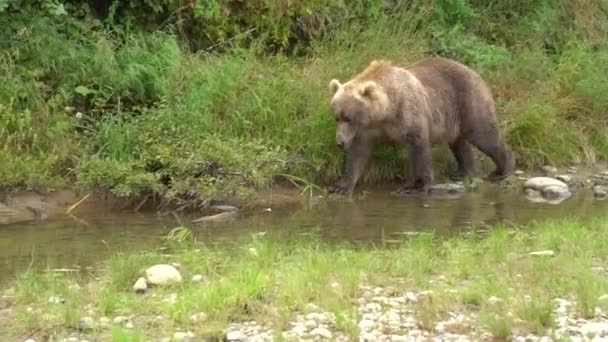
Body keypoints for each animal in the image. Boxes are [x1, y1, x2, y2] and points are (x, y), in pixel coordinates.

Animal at [328, 56, 512, 195]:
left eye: (348, 118)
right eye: (337, 117)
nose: (339, 142)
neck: (385, 112)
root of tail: (474, 72)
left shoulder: (409, 114)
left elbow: (419, 147)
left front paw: (416, 185)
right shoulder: (369, 129)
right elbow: (358, 154)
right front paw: (341, 186)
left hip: (468, 100)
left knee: (483, 134)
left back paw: (501, 170)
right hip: (452, 120)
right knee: (459, 144)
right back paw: (464, 172)